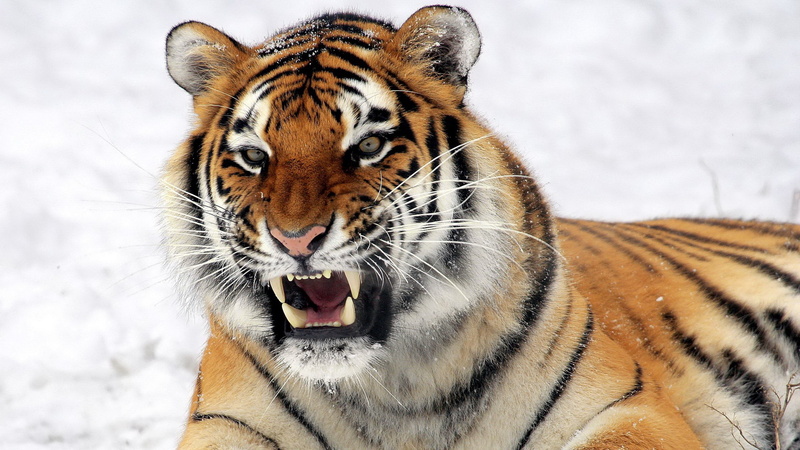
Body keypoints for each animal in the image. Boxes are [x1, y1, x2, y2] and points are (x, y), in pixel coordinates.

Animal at [161, 6, 800, 449]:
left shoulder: (628, 407)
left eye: (367, 146)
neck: (393, 386)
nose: (296, 239)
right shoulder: (228, 421)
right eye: (254, 157)